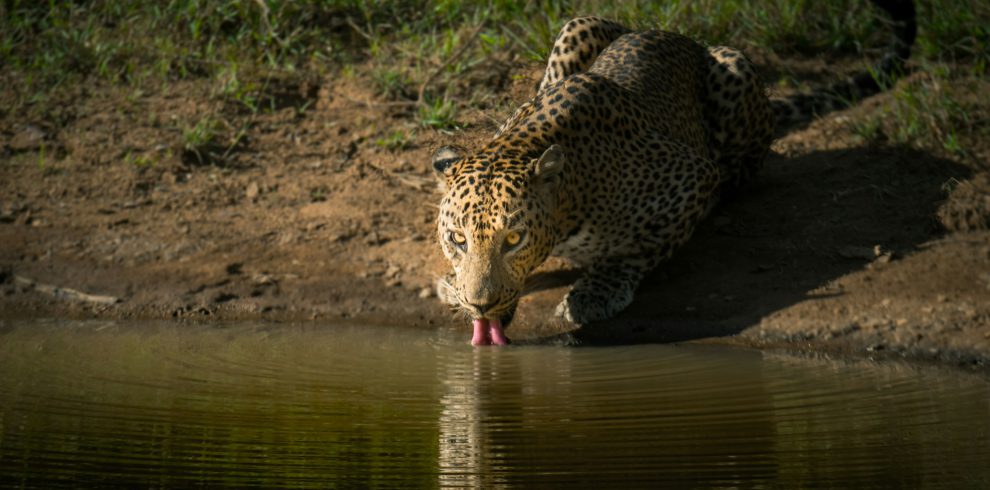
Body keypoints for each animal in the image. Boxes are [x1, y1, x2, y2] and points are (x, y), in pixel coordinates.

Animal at [430, 1, 916, 345]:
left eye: (513, 239)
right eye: (457, 239)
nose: (480, 304)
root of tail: (681, 37)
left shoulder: (692, 178)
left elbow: (638, 247)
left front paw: (594, 292)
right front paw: (452, 288)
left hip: (734, 72)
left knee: (744, 168)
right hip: (578, 25)